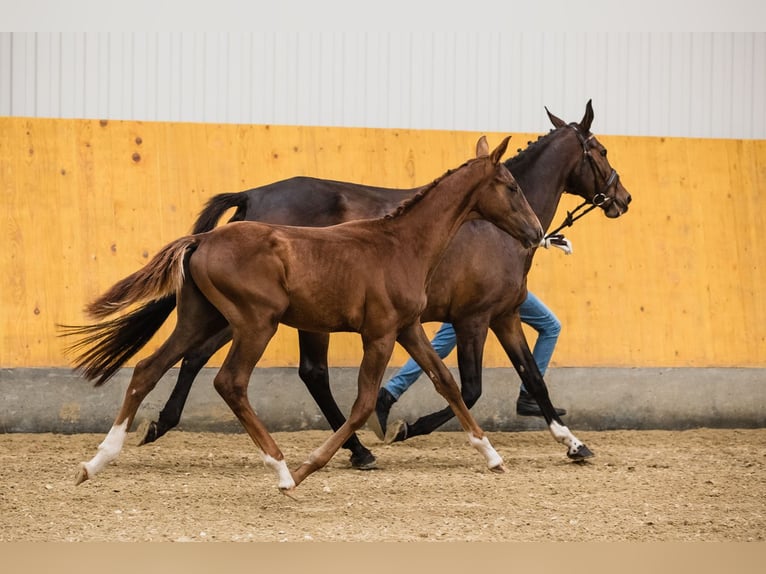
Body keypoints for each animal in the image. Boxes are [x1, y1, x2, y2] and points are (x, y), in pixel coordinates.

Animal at [64, 101, 632, 472]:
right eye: (601, 150)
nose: (623, 198)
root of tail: (250, 198)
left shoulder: (502, 315)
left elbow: (527, 376)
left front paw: (572, 443)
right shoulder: (472, 318)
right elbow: (469, 385)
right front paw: (404, 425)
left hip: (237, 315)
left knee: (186, 358)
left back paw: (152, 429)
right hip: (270, 320)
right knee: (287, 372)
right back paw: (352, 451)